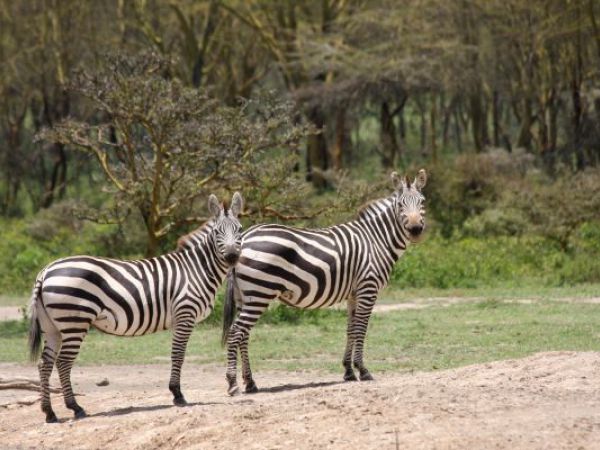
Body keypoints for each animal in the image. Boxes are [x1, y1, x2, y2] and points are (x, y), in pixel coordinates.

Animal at [28, 192, 244, 422]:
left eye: (239, 229)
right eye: (217, 231)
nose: (232, 257)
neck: (196, 269)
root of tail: (46, 271)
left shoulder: (179, 318)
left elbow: (176, 353)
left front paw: (175, 391)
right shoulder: (185, 313)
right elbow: (178, 354)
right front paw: (177, 394)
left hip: (51, 326)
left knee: (45, 363)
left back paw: (49, 412)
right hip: (74, 322)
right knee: (63, 362)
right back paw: (75, 407)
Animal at [221, 171, 426, 396]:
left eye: (422, 202)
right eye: (400, 204)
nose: (416, 229)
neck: (376, 240)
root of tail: (243, 238)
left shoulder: (354, 293)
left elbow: (351, 328)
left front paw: (348, 372)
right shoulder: (368, 287)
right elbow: (361, 328)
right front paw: (362, 370)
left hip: (245, 295)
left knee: (243, 334)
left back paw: (250, 383)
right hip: (259, 292)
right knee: (236, 332)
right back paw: (233, 383)